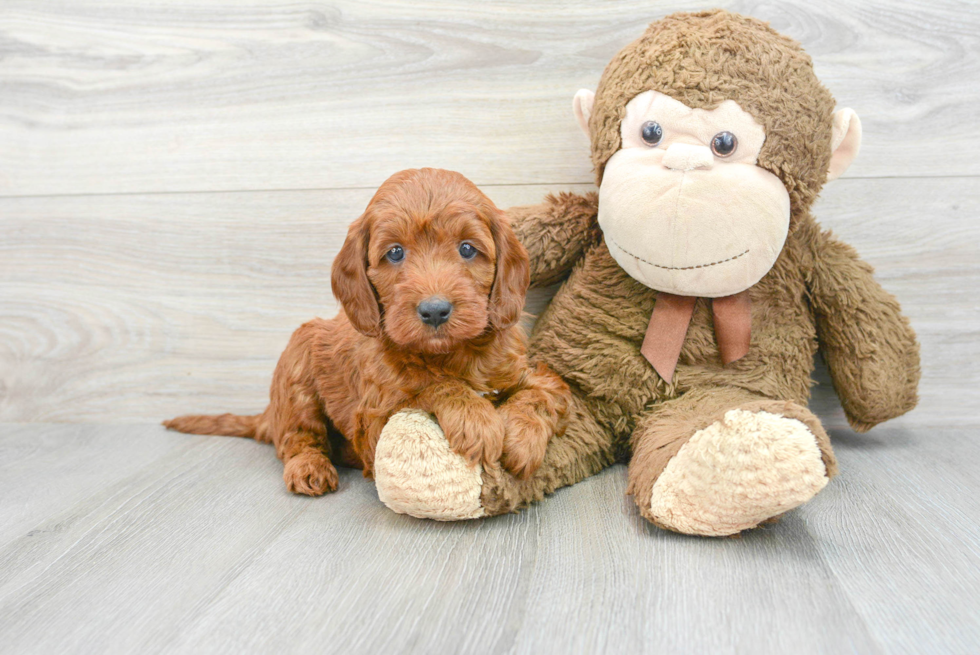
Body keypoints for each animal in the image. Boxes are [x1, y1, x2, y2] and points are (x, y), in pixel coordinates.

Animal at [165, 169, 572, 498]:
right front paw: (475, 417)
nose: (434, 310)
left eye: (468, 249)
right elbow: (429, 385)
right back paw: (309, 468)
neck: (449, 353)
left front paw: (523, 441)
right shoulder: (376, 416)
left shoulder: (525, 370)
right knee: (297, 437)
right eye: (395, 253)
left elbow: (545, 391)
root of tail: (269, 414)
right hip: (297, 366)